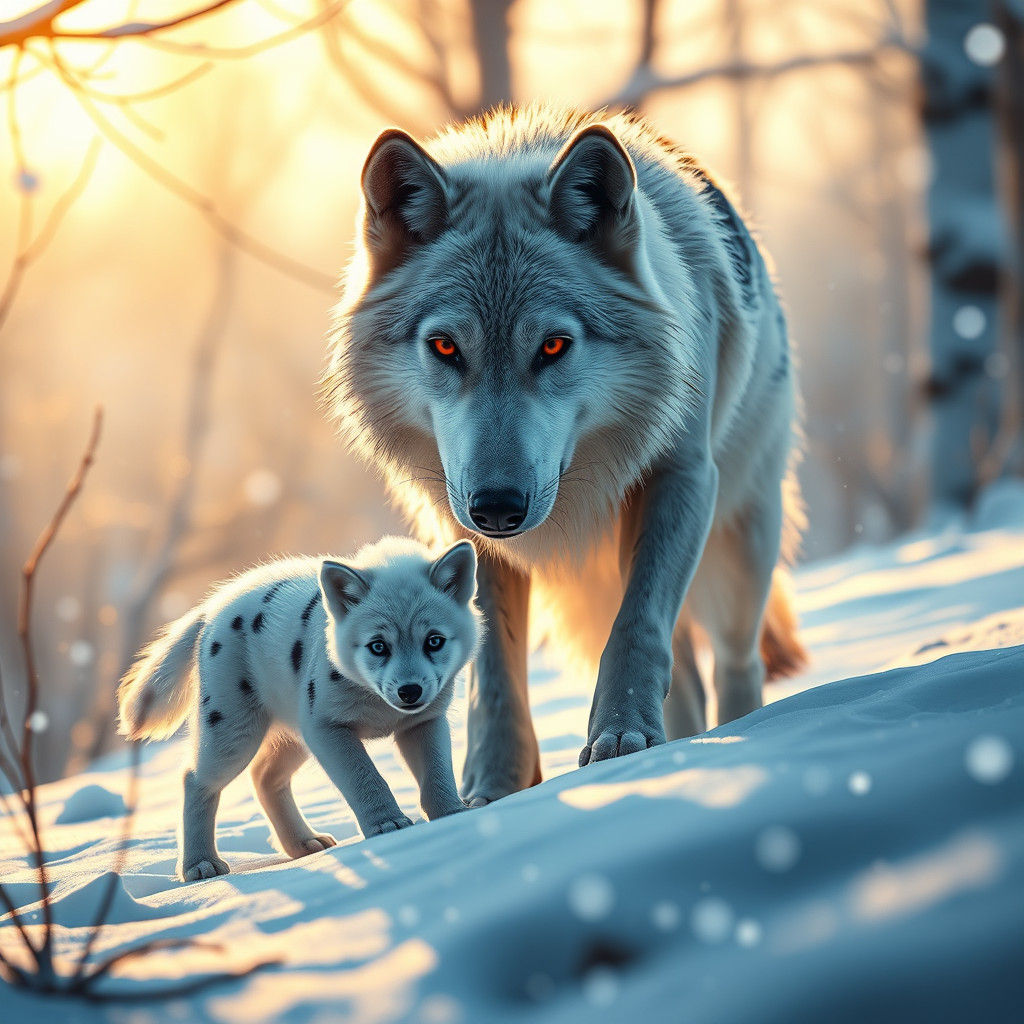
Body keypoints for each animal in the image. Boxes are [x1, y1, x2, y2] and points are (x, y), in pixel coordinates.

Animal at [118, 537, 479, 881]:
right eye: (378, 646)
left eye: (434, 641)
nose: (409, 691)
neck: (378, 706)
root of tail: (213, 608)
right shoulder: (326, 729)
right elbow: (365, 779)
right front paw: (387, 826)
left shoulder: (424, 722)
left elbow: (438, 773)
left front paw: (452, 815)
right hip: (233, 733)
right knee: (196, 781)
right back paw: (200, 865)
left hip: (291, 737)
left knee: (264, 777)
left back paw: (303, 843)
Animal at [325, 105, 806, 807]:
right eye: (444, 347)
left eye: (553, 346)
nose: (498, 507)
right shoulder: (463, 534)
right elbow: (493, 673)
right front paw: (492, 787)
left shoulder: (680, 477)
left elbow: (637, 628)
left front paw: (620, 738)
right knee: (686, 677)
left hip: (741, 554)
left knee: (734, 663)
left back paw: (738, 734)